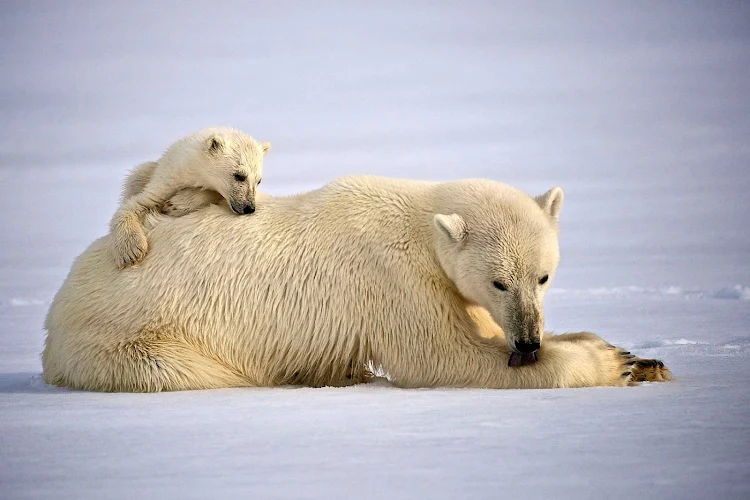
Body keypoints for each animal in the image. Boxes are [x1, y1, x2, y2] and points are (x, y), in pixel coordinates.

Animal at [42, 175, 671, 392]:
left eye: (543, 276)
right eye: (498, 282)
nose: (528, 342)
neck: (418, 220)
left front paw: (638, 357)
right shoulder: (395, 280)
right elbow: (447, 357)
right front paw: (608, 365)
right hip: (129, 338)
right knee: (191, 371)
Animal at [110, 127, 271, 268]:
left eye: (259, 180)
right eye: (239, 175)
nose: (249, 208)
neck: (193, 171)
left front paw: (175, 204)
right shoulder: (167, 180)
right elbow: (136, 204)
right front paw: (131, 251)